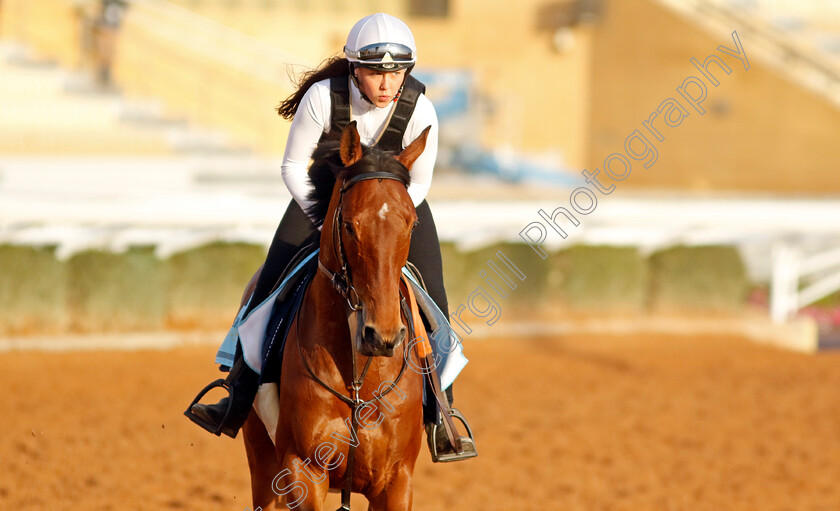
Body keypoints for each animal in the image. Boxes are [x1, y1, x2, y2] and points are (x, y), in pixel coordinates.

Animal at [240, 121, 430, 511]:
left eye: (412, 224)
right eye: (349, 225)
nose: (382, 337)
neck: (359, 382)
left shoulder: (396, 480)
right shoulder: (303, 469)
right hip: (262, 463)